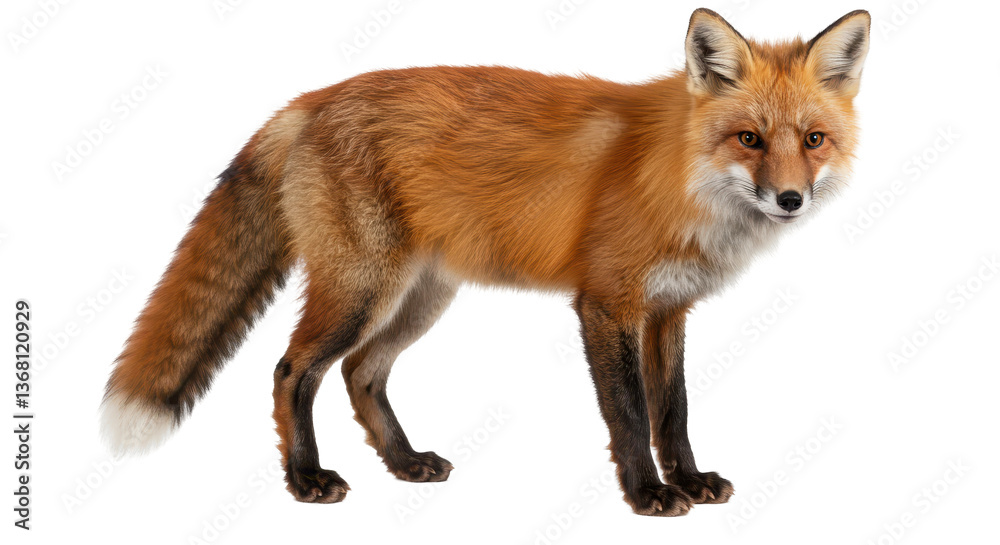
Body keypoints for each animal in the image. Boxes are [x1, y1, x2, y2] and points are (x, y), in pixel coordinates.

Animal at [101, 8, 870, 516]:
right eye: (748, 139)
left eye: (813, 139)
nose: (791, 199)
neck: (679, 178)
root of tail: (312, 99)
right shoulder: (607, 303)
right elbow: (628, 413)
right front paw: (648, 492)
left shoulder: (668, 310)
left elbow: (673, 410)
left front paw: (689, 479)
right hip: (362, 290)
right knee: (294, 370)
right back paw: (306, 479)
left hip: (420, 298)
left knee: (361, 372)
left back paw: (404, 461)